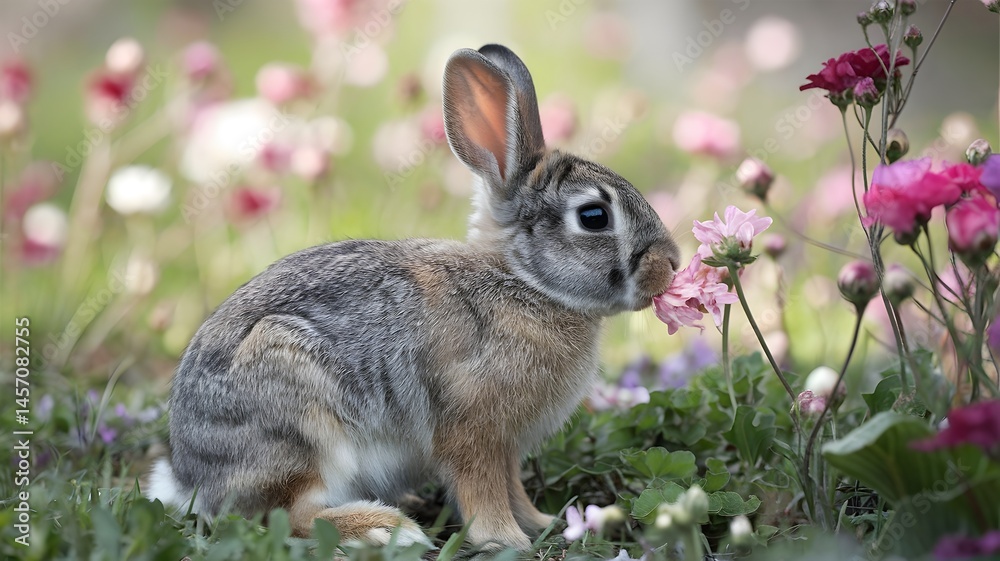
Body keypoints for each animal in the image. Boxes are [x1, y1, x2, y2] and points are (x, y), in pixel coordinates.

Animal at [146, 43, 680, 552]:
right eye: (593, 217)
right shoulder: (473, 430)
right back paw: (387, 529)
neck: (525, 282)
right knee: (289, 516)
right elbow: (482, 490)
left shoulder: (505, 447)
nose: (672, 263)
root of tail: (192, 477)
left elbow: (512, 488)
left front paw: (541, 523)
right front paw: (506, 540)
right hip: (297, 418)